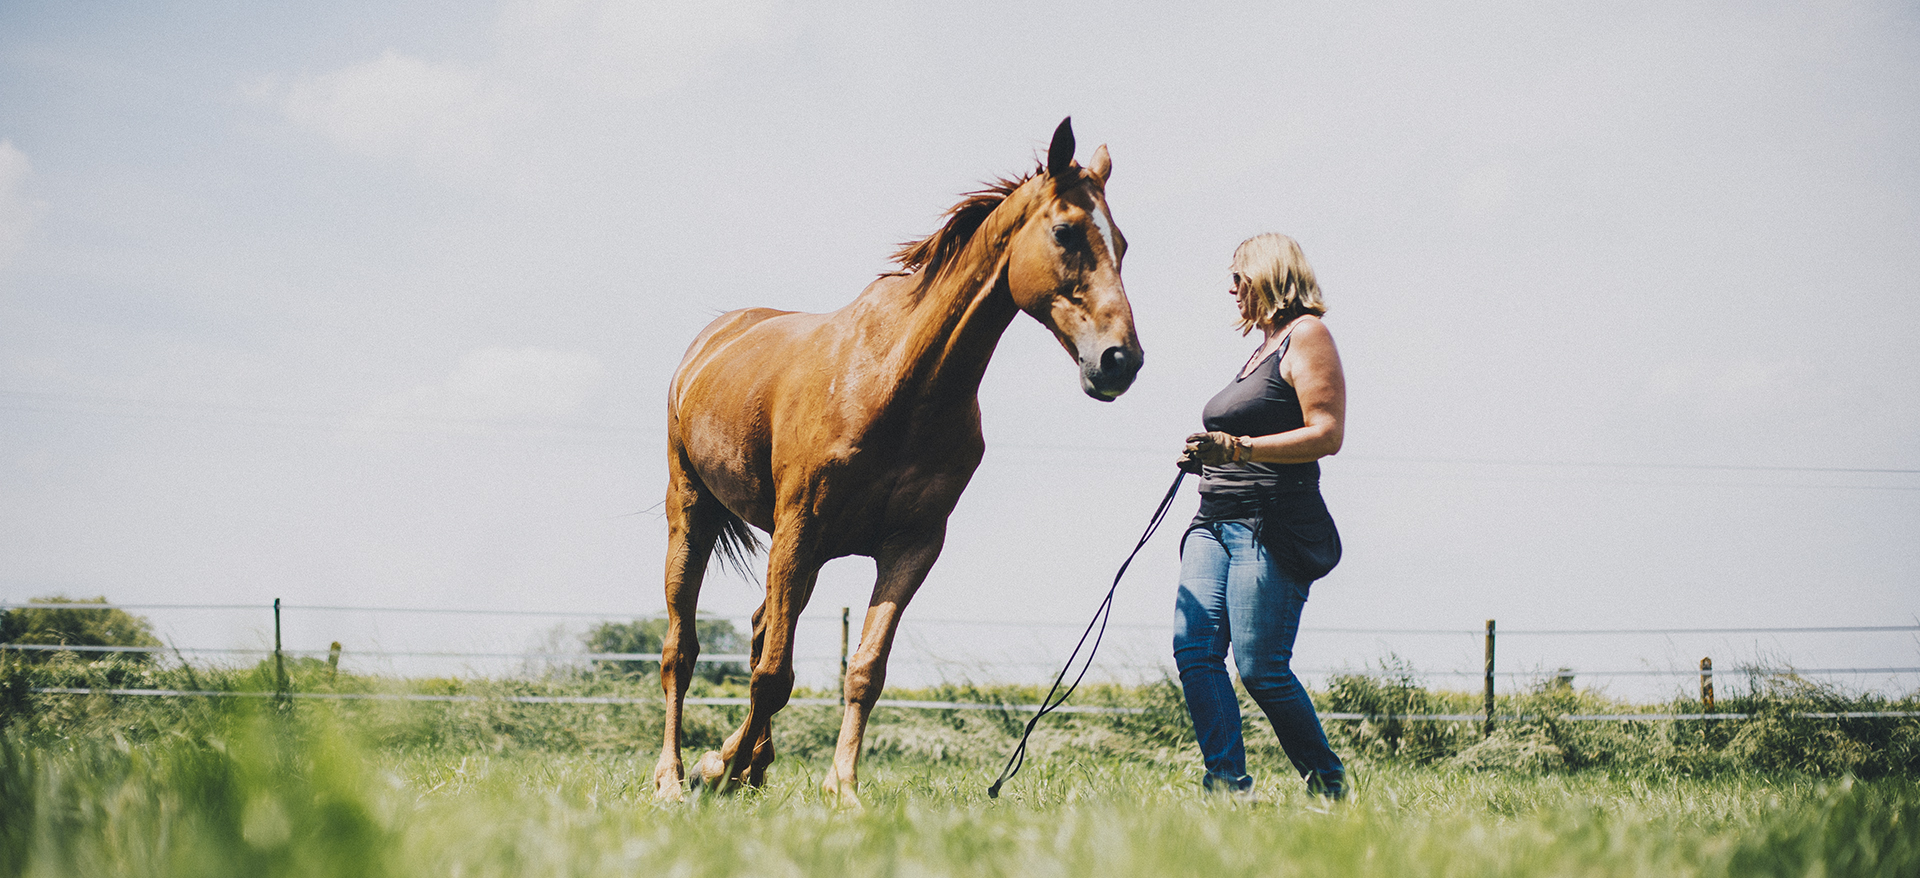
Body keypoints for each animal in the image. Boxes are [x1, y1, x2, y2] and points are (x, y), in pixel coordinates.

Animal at [656, 119, 1136, 803]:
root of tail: (711, 341)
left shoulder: (912, 545)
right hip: (695, 516)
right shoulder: (799, 529)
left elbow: (864, 670)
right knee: (682, 648)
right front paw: (717, 769)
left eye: (1121, 242)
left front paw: (840, 789)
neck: (898, 381)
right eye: (1067, 230)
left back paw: (747, 767)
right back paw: (675, 777)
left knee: (758, 628)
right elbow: (774, 676)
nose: (1121, 359)